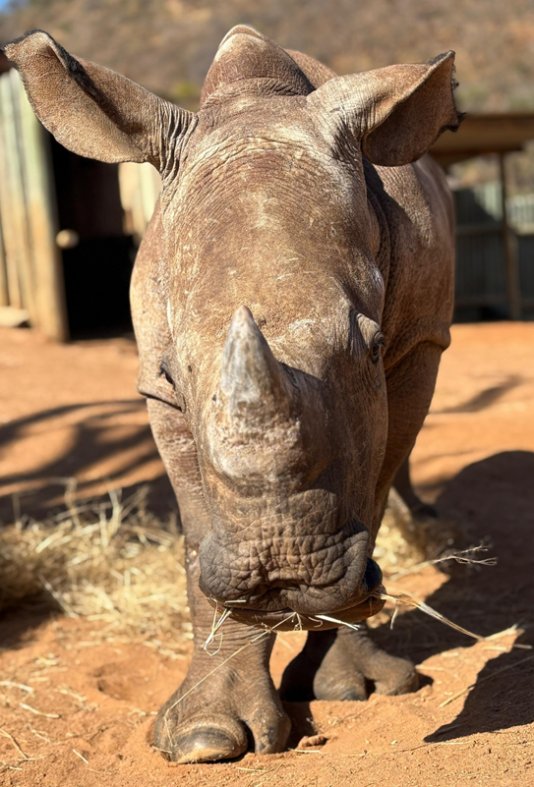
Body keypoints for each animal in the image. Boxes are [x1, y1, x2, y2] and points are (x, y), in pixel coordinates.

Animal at [5, 25, 460, 763]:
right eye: (170, 374)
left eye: (368, 345)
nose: (282, 572)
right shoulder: (157, 387)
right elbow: (197, 529)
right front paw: (203, 739)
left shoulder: (418, 344)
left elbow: (371, 480)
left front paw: (353, 687)